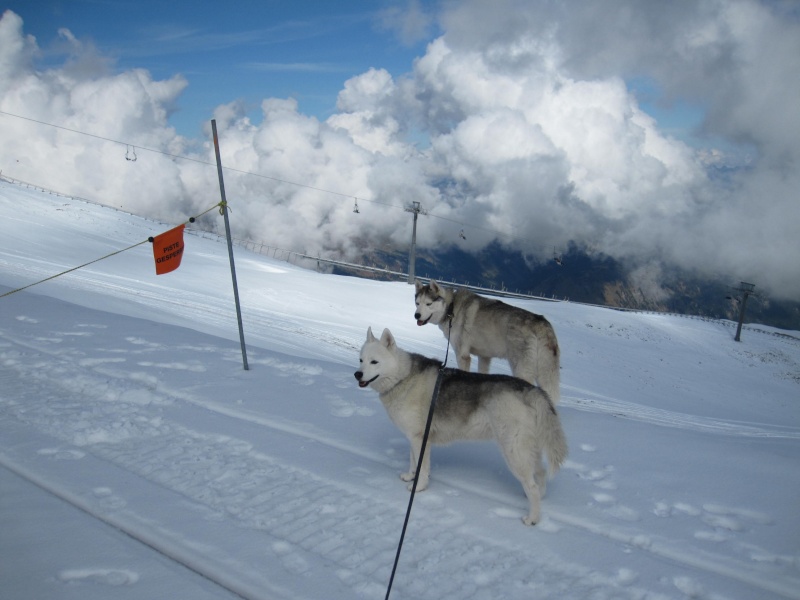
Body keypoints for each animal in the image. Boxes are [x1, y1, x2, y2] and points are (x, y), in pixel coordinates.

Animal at [354, 328, 564, 524]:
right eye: (361, 360)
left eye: (374, 362)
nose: (357, 374)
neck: (402, 377)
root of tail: (531, 389)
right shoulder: (414, 438)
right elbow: (414, 462)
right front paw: (410, 476)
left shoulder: (420, 439)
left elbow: (422, 468)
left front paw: (418, 488)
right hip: (528, 450)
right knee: (540, 474)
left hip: (514, 452)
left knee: (532, 487)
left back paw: (533, 518)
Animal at [412, 280, 564, 404]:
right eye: (417, 303)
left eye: (428, 304)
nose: (416, 315)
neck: (451, 308)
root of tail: (541, 322)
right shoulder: (484, 357)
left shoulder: (462, 355)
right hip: (543, 373)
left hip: (521, 368)